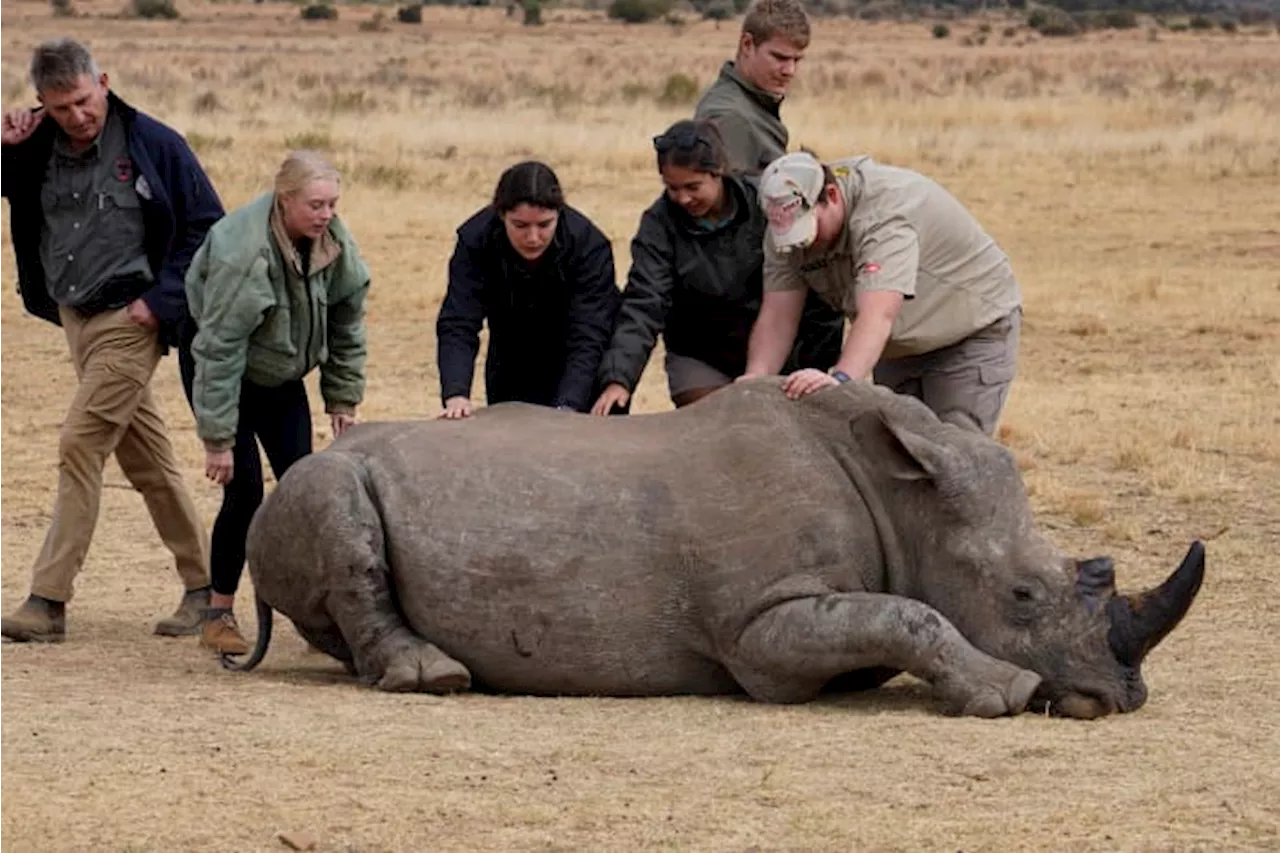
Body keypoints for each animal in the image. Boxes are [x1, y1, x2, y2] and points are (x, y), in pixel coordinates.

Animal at [227, 379, 1198, 717]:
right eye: (1025, 597)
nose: (1121, 697)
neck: (905, 499)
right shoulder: (757, 630)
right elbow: (908, 615)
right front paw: (1007, 691)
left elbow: (897, 617)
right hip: (319, 474)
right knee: (334, 505)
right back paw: (435, 678)